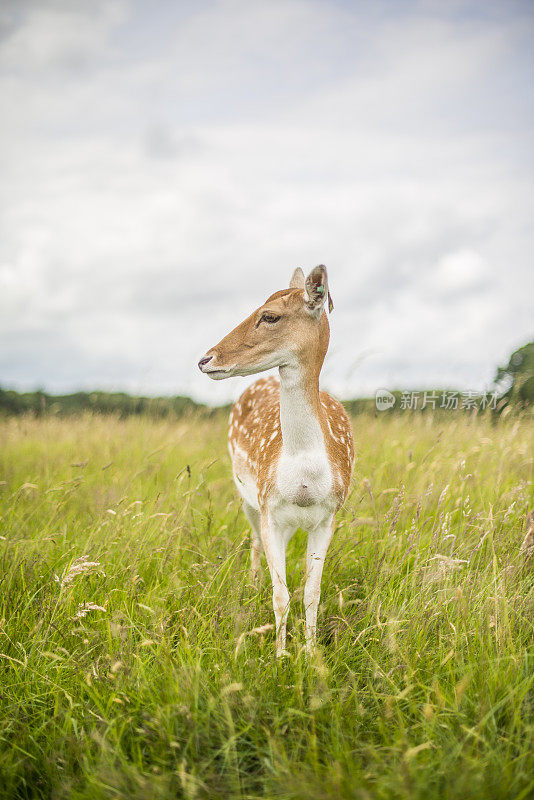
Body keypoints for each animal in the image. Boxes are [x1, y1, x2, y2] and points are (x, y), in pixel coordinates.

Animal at [198, 266, 356, 652]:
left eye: (270, 316)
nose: (205, 359)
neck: (305, 481)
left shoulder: (329, 515)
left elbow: (311, 593)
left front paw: (311, 653)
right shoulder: (269, 508)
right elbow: (280, 596)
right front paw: (281, 656)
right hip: (246, 496)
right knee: (253, 541)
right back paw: (253, 583)